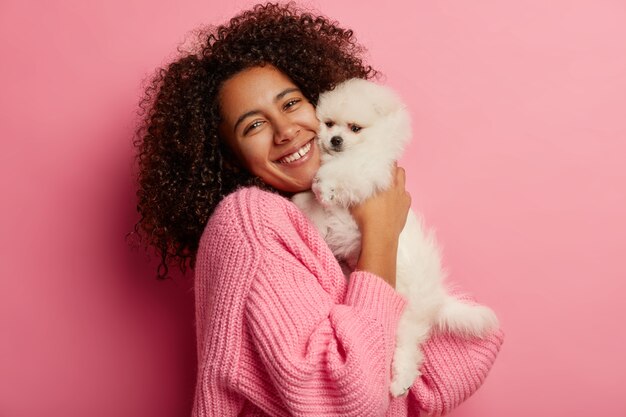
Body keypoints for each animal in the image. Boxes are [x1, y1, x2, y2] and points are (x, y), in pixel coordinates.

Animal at [292, 79, 498, 396]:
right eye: (328, 124)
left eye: (355, 128)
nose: (335, 140)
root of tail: (436, 298)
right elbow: (311, 204)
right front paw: (304, 201)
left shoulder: (369, 169)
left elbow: (341, 173)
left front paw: (324, 186)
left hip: (405, 316)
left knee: (408, 349)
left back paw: (401, 380)